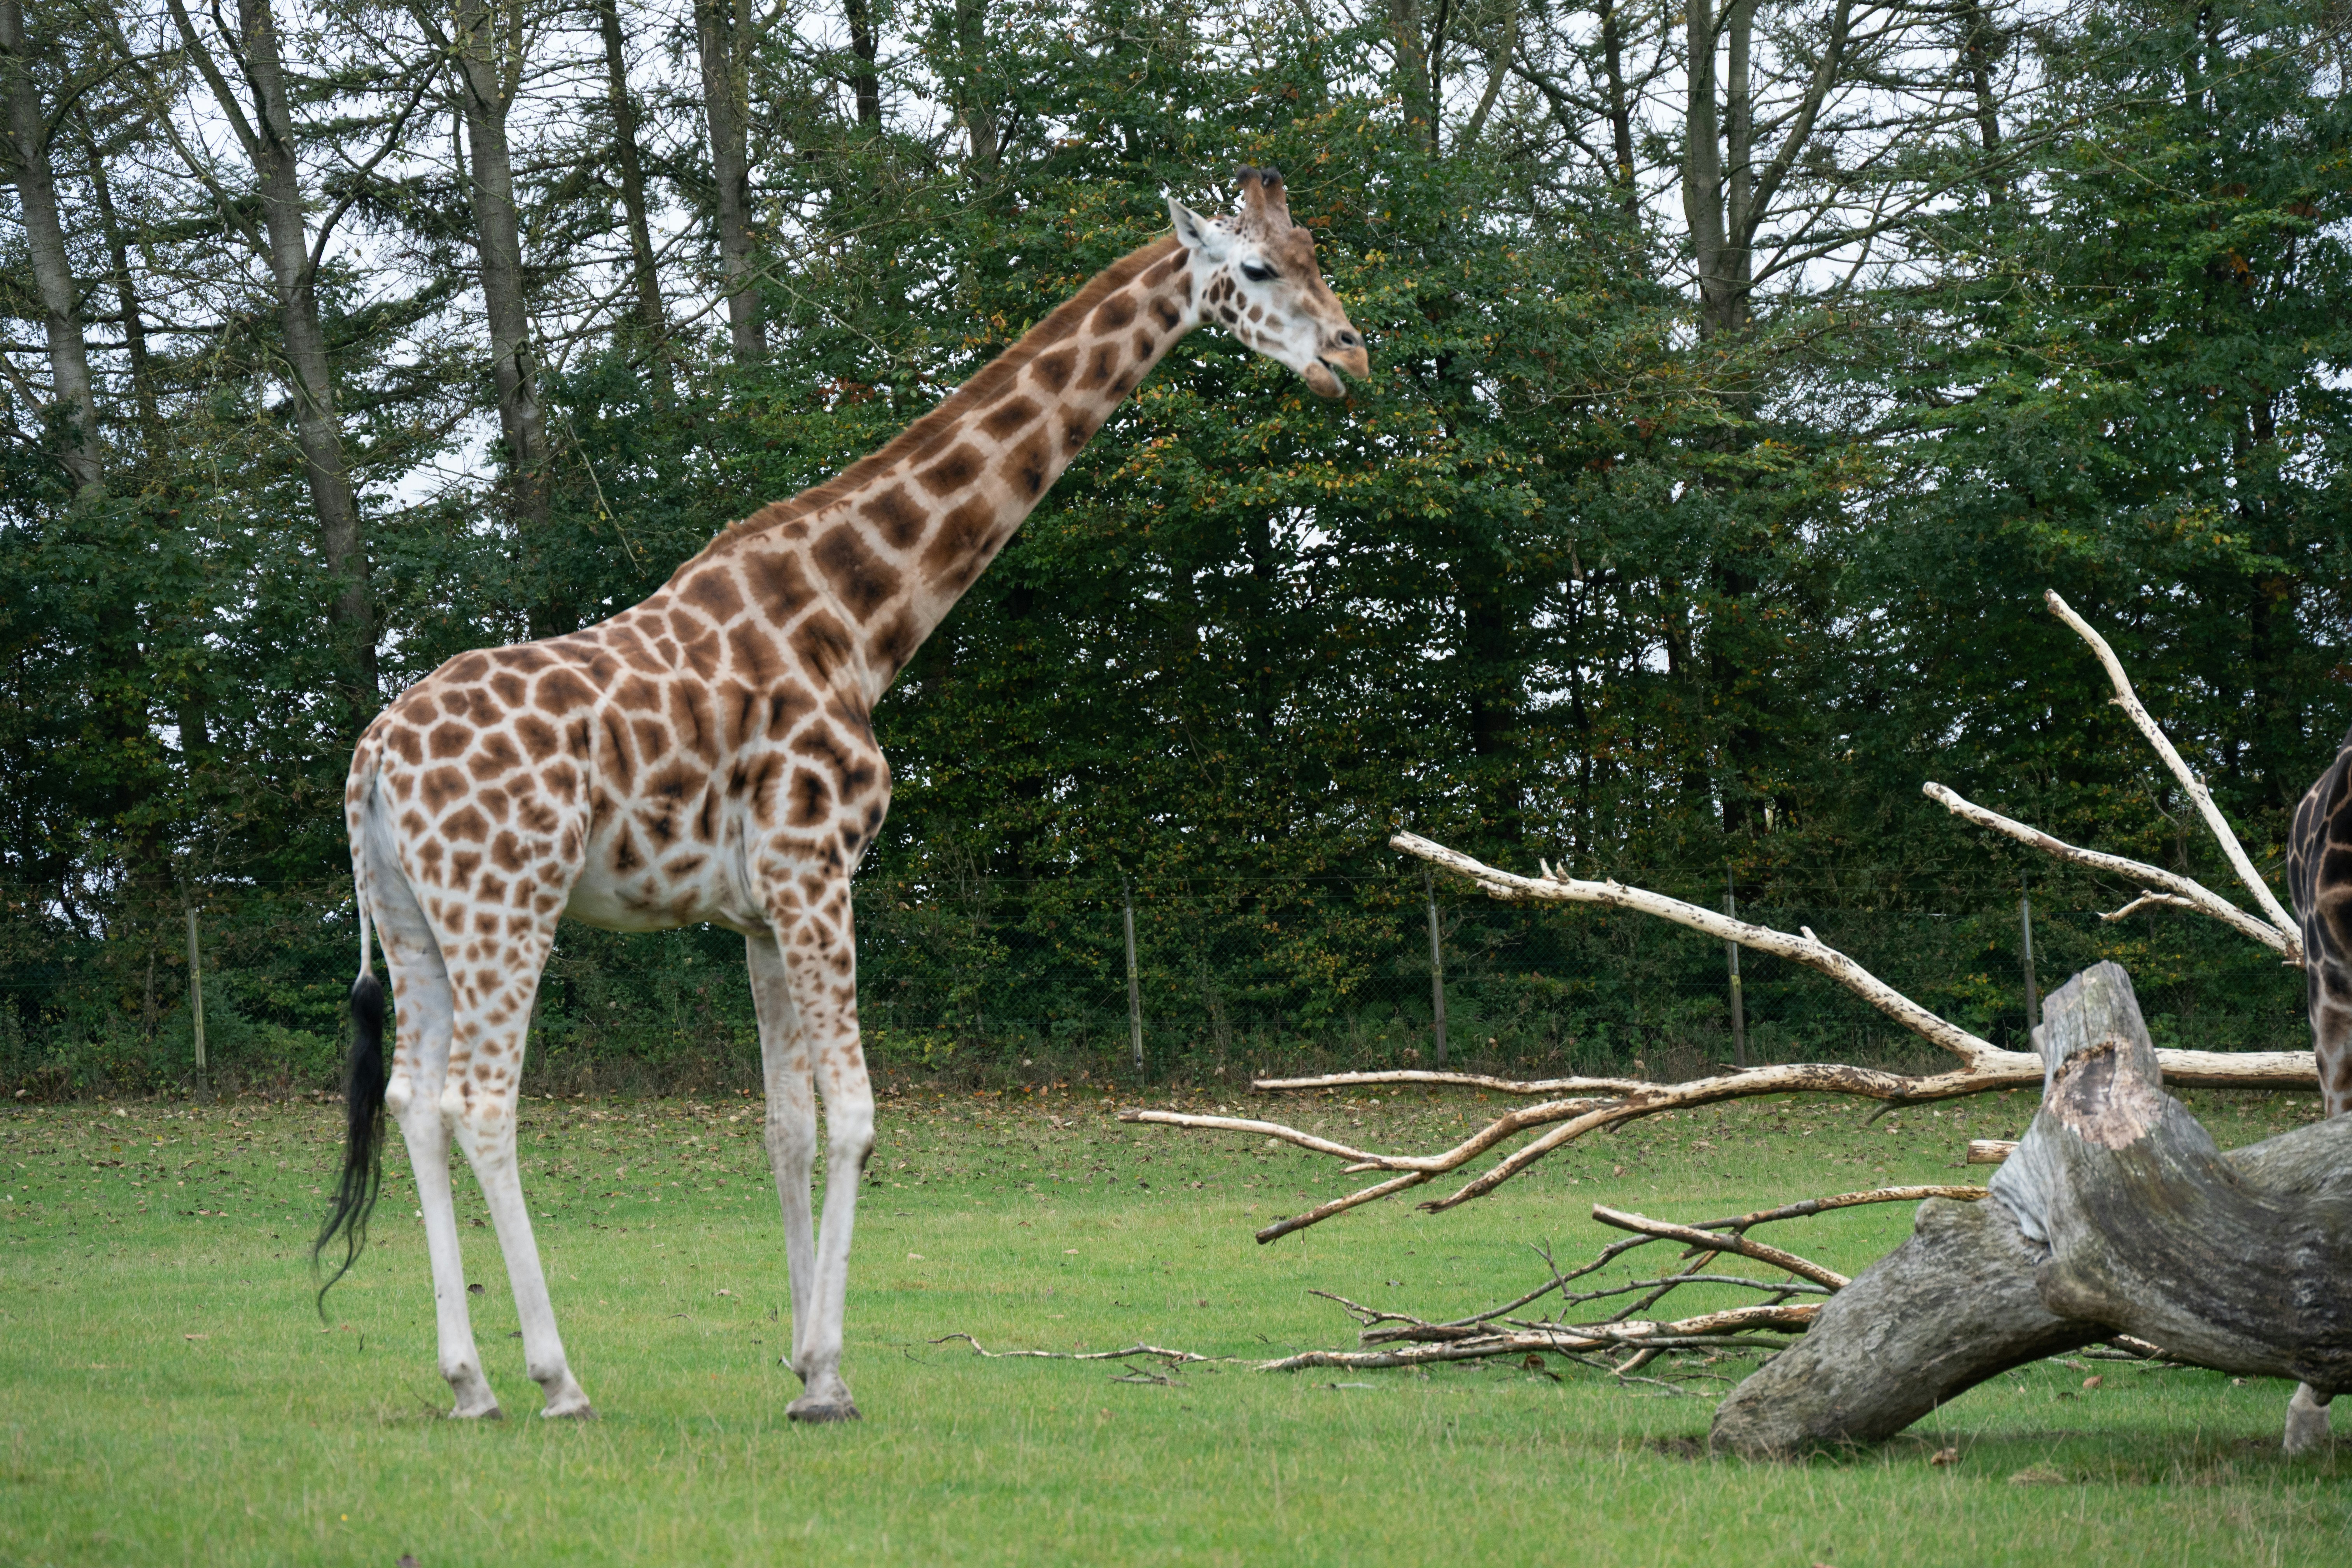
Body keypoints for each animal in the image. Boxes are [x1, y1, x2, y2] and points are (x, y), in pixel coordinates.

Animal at [313, 167, 1367, 1422]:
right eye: (1255, 269)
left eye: (1317, 256)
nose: (1351, 355)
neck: (858, 622)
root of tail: (372, 756)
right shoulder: (818, 869)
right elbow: (859, 1120)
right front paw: (826, 1379)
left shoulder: (760, 913)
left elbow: (788, 1131)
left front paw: (808, 1361)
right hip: (505, 905)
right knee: (479, 1105)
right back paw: (556, 1379)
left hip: (415, 918)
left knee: (412, 1104)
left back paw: (468, 1380)